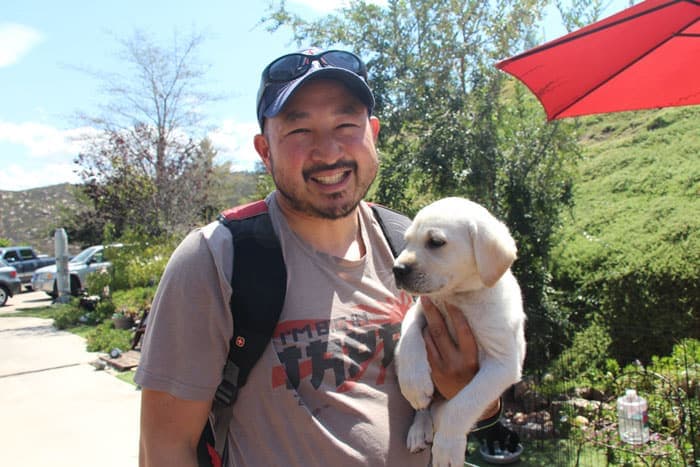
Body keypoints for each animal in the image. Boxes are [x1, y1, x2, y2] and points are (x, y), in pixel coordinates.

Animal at [394, 197, 524, 467]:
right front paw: (414, 384)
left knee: (442, 411)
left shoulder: (503, 364)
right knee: (425, 408)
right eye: (407, 241)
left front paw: (447, 448)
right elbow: (410, 333)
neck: (458, 297)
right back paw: (418, 428)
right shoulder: (419, 308)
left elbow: (461, 406)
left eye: (436, 242)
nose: (397, 269)